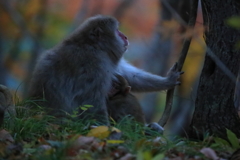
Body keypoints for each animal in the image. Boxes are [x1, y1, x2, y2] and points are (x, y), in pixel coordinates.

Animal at [28, 14, 182, 125]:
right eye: (117, 31)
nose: (125, 36)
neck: (95, 46)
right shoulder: (94, 63)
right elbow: (90, 101)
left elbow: (128, 75)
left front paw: (168, 80)